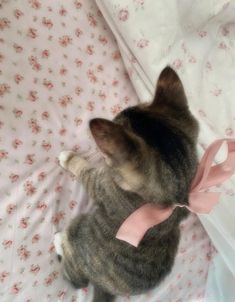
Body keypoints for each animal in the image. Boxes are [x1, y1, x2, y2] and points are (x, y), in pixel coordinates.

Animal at [54, 67, 198, 300]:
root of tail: (105, 286)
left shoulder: (102, 185)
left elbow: (85, 171)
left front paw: (69, 158)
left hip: (80, 228)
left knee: (76, 277)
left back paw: (59, 239)